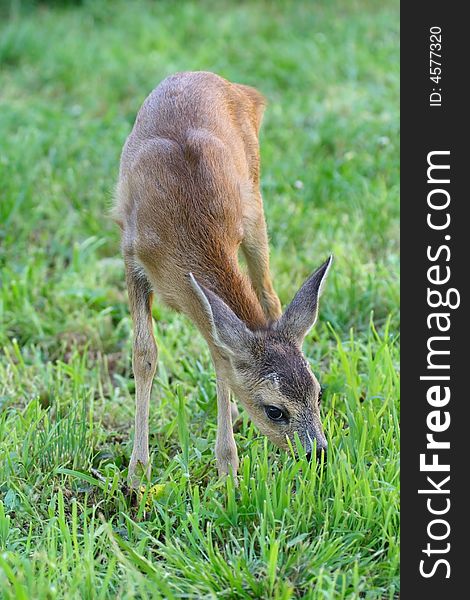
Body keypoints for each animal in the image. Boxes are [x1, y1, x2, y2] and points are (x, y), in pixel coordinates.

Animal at [114, 71, 332, 488]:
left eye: (318, 392)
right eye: (274, 410)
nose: (318, 455)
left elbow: (220, 356)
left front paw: (227, 470)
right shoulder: (131, 255)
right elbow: (144, 355)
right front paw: (137, 474)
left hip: (255, 203)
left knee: (268, 297)